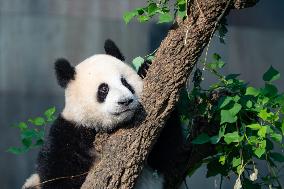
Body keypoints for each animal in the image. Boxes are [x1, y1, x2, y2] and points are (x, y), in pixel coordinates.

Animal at [23, 39, 166, 188]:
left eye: (125, 82)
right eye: (103, 89)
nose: (125, 101)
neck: (100, 127)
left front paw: (145, 68)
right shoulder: (67, 134)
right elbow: (57, 175)